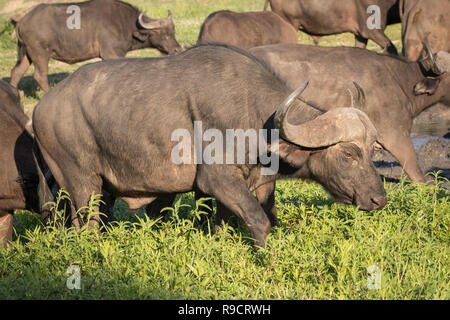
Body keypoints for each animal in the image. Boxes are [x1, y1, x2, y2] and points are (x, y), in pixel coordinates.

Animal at [9, 0, 181, 92]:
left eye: (173, 32)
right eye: (164, 34)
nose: (177, 49)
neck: (126, 24)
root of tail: (22, 20)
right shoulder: (111, 54)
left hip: (27, 54)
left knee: (16, 71)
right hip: (40, 54)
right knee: (40, 75)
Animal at [33, 43, 388, 248]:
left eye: (373, 150)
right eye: (349, 153)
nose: (378, 199)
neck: (256, 117)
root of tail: (41, 108)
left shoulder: (255, 183)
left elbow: (234, 223)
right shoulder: (217, 179)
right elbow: (259, 221)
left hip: (101, 190)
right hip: (82, 184)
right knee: (87, 226)